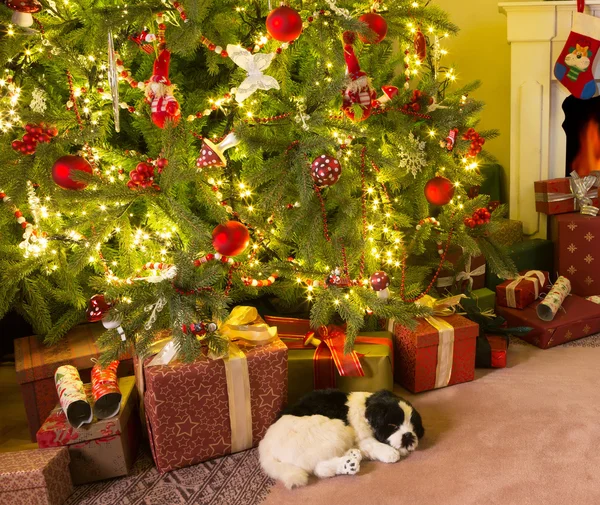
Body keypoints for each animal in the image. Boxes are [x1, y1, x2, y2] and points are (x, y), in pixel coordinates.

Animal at [260, 390, 424, 488]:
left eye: (414, 427)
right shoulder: (361, 436)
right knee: (320, 468)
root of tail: (265, 446)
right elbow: (373, 444)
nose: (408, 436)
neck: (366, 408)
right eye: (392, 425)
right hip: (334, 430)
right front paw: (390, 453)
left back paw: (352, 457)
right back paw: (348, 463)